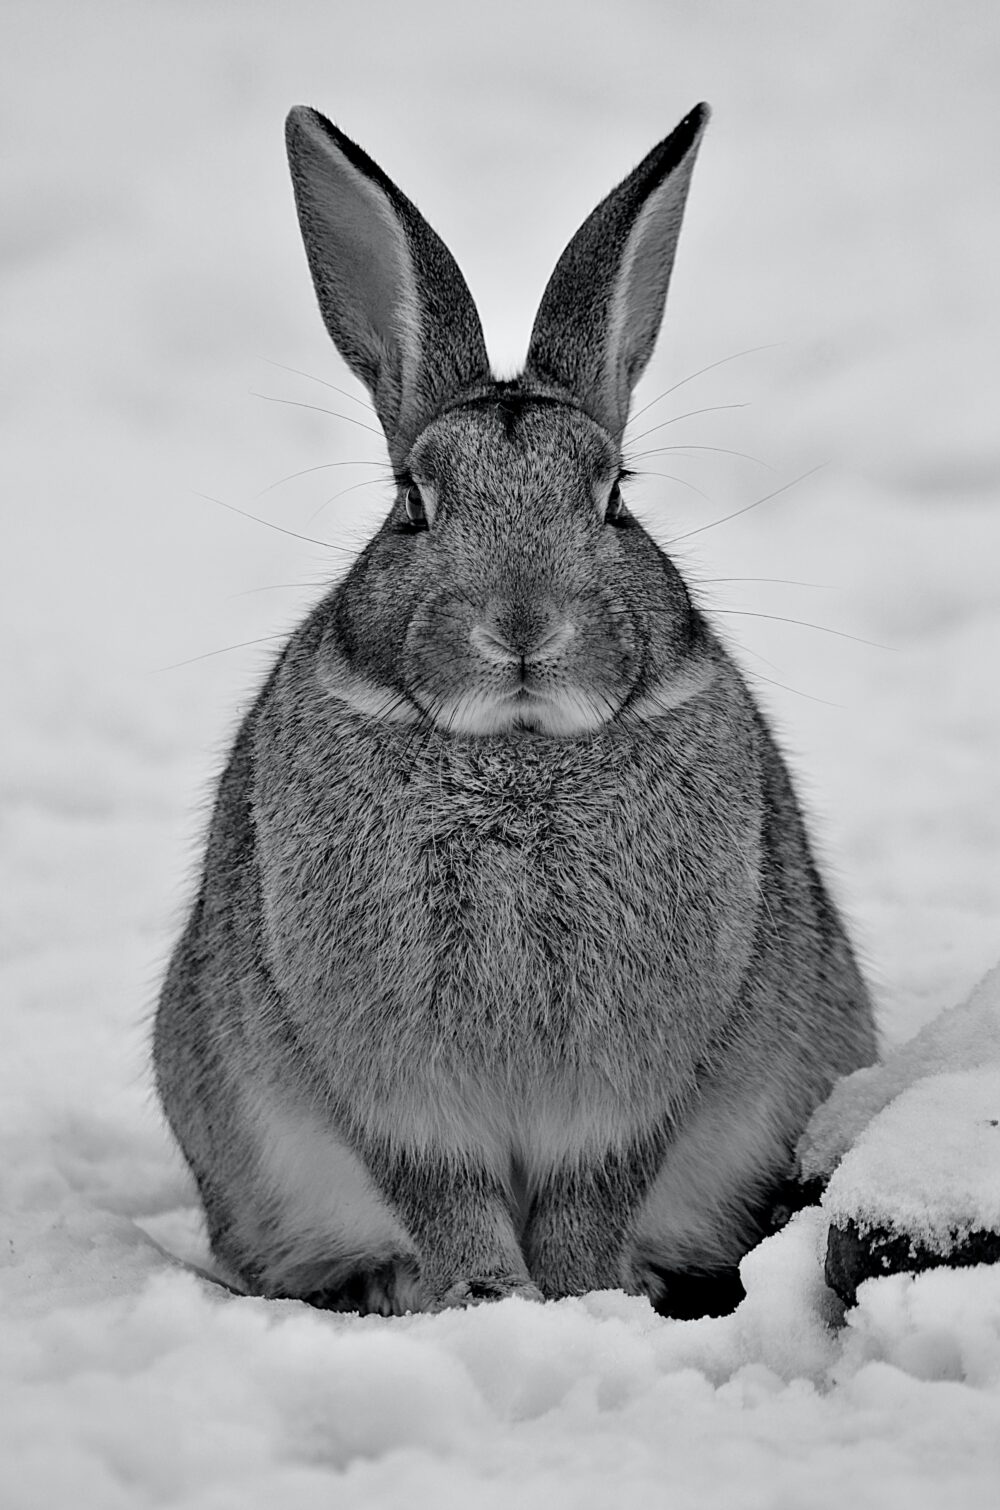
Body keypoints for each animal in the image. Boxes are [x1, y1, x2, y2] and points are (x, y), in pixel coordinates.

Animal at [153, 101, 877, 1320]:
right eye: (411, 501)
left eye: (616, 494)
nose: (524, 624)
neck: (518, 751)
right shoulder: (397, 1092)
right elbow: (444, 1192)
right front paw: (486, 1298)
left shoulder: (634, 1091)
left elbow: (593, 1194)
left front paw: (581, 1301)